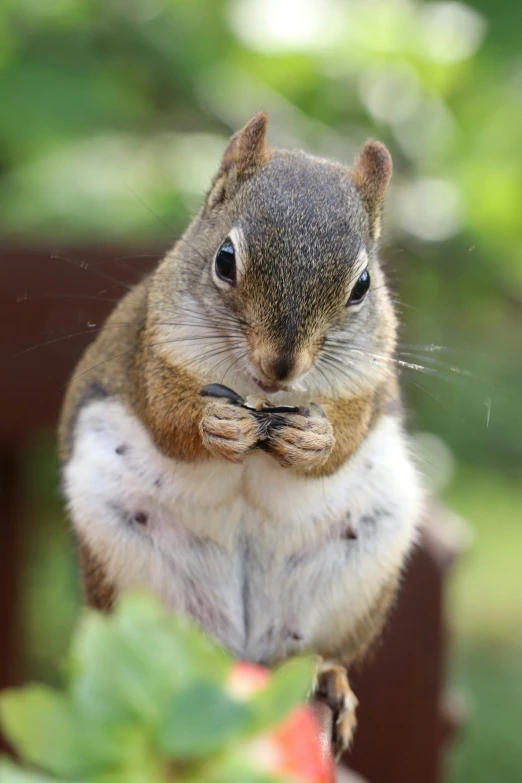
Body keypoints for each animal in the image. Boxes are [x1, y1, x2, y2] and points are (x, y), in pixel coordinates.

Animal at [59, 113, 420, 756]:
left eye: (362, 286)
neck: (265, 401)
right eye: (225, 258)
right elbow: (168, 419)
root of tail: (244, 647)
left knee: (317, 653)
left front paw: (314, 441)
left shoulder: (369, 382)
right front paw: (217, 426)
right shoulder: (150, 353)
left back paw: (328, 678)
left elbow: (345, 435)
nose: (281, 366)